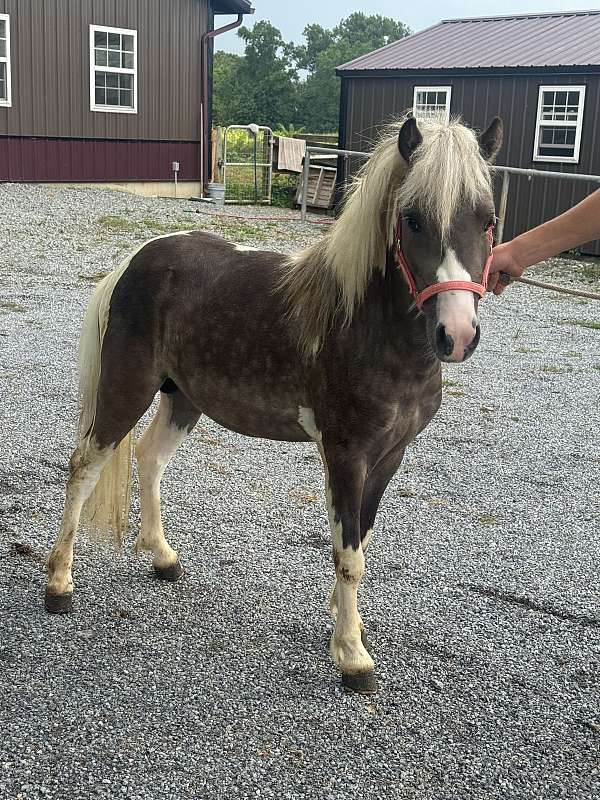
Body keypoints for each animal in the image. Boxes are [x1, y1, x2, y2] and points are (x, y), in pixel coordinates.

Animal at [45, 114, 503, 694]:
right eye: (413, 219)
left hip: (184, 398)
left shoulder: (389, 457)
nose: (457, 334)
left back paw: (163, 558)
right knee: (84, 467)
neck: (367, 328)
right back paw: (59, 584)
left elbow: (358, 541)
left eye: (487, 220)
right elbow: (348, 554)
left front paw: (343, 625)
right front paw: (352, 656)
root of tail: (135, 259)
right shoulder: (346, 453)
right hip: (126, 390)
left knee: (149, 458)